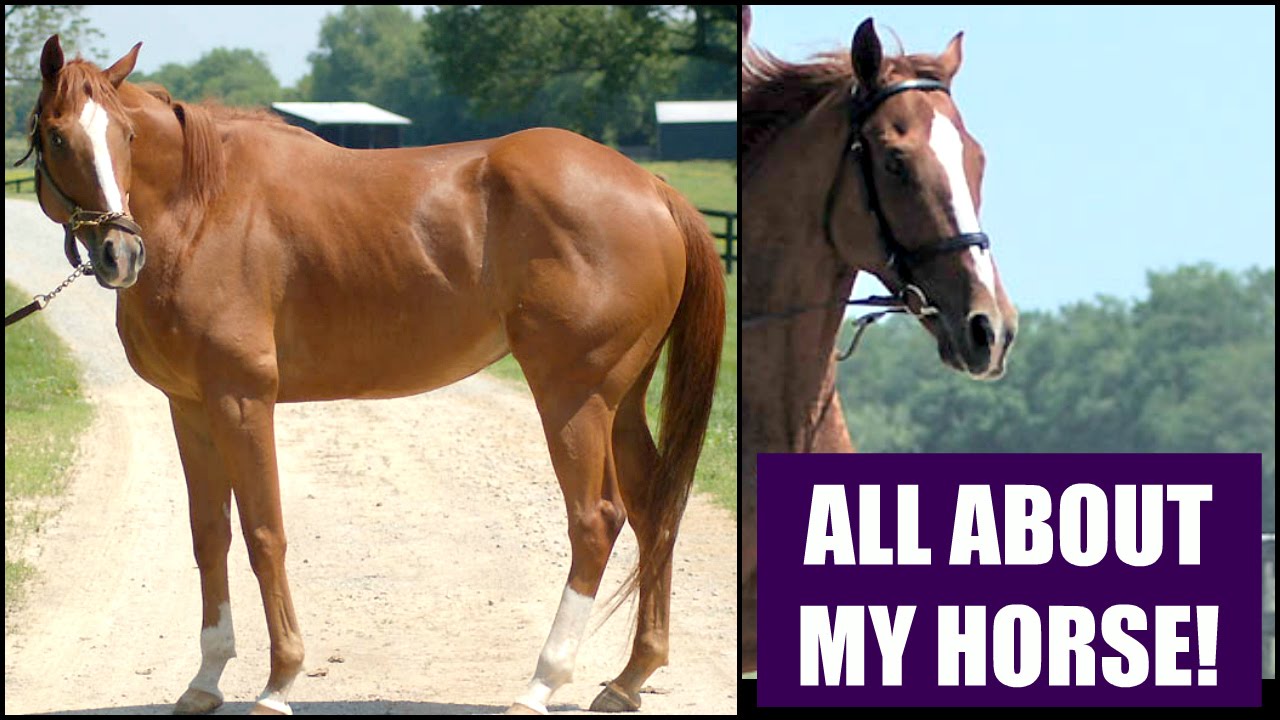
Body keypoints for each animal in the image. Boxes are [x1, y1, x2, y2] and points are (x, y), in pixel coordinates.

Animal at [25, 35, 724, 715]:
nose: (120, 253)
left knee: (595, 520)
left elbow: (264, 533)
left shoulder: (242, 401)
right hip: (622, 401)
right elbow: (209, 535)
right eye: (58, 136)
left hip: (574, 398)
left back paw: (540, 686)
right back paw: (628, 679)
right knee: (654, 508)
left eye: (126, 136)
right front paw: (205, 680)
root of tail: (653, 187)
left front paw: (279, 683)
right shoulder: (190, 406)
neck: (204, 209)